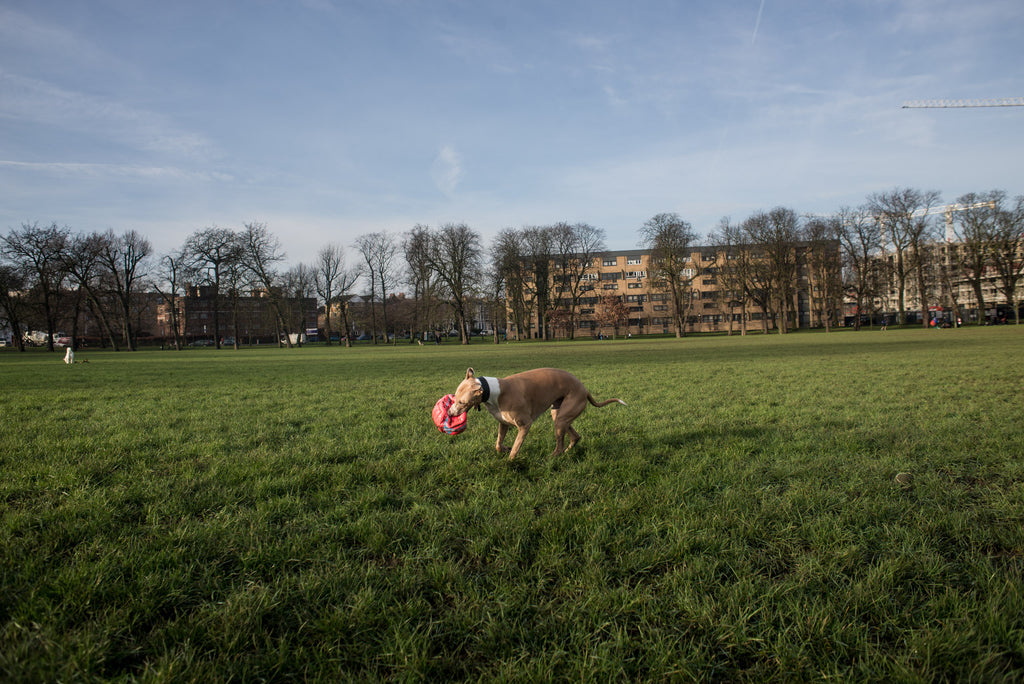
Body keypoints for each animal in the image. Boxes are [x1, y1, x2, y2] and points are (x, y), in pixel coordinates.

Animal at [448, 368, 622, 458]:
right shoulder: (503, 424)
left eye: (461, 402)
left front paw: (510, 462)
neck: (493, 391)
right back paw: (568, 451)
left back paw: (553, 457)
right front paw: (504, 449)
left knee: (560, 445)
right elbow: (498, 444)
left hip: (562, 417)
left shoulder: (525, 425)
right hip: (559, 415)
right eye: (454, 396)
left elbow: (516, 448)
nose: (449, 414)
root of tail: (585, 389)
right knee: (575, 436)